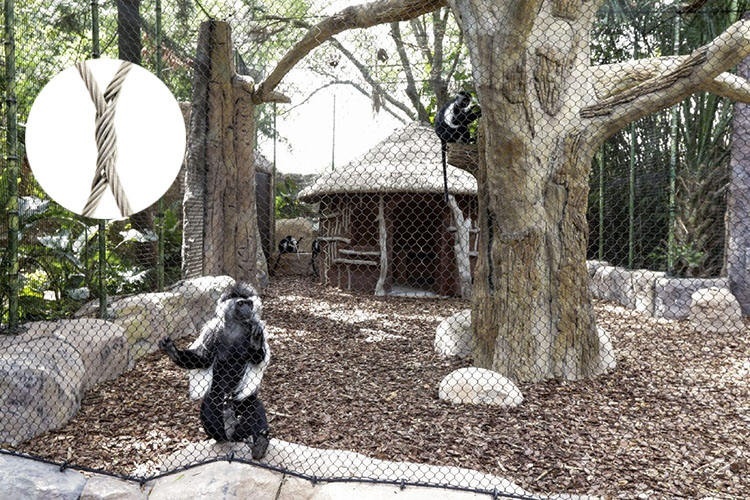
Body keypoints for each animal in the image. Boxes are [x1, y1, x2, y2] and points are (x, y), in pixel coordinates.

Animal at [159, 282, 270, 459]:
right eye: (241, 303)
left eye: (249, 303)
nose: (248, 310)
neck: (236, 327)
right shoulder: (213, 330)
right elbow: (204, 359)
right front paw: (173, 351)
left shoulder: (255, 326)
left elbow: (257, 359)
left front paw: (255, 342)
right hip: (216, 397)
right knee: (209, 407)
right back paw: (224, 433)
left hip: (239, 399)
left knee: (253, 405)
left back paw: (257, 442)